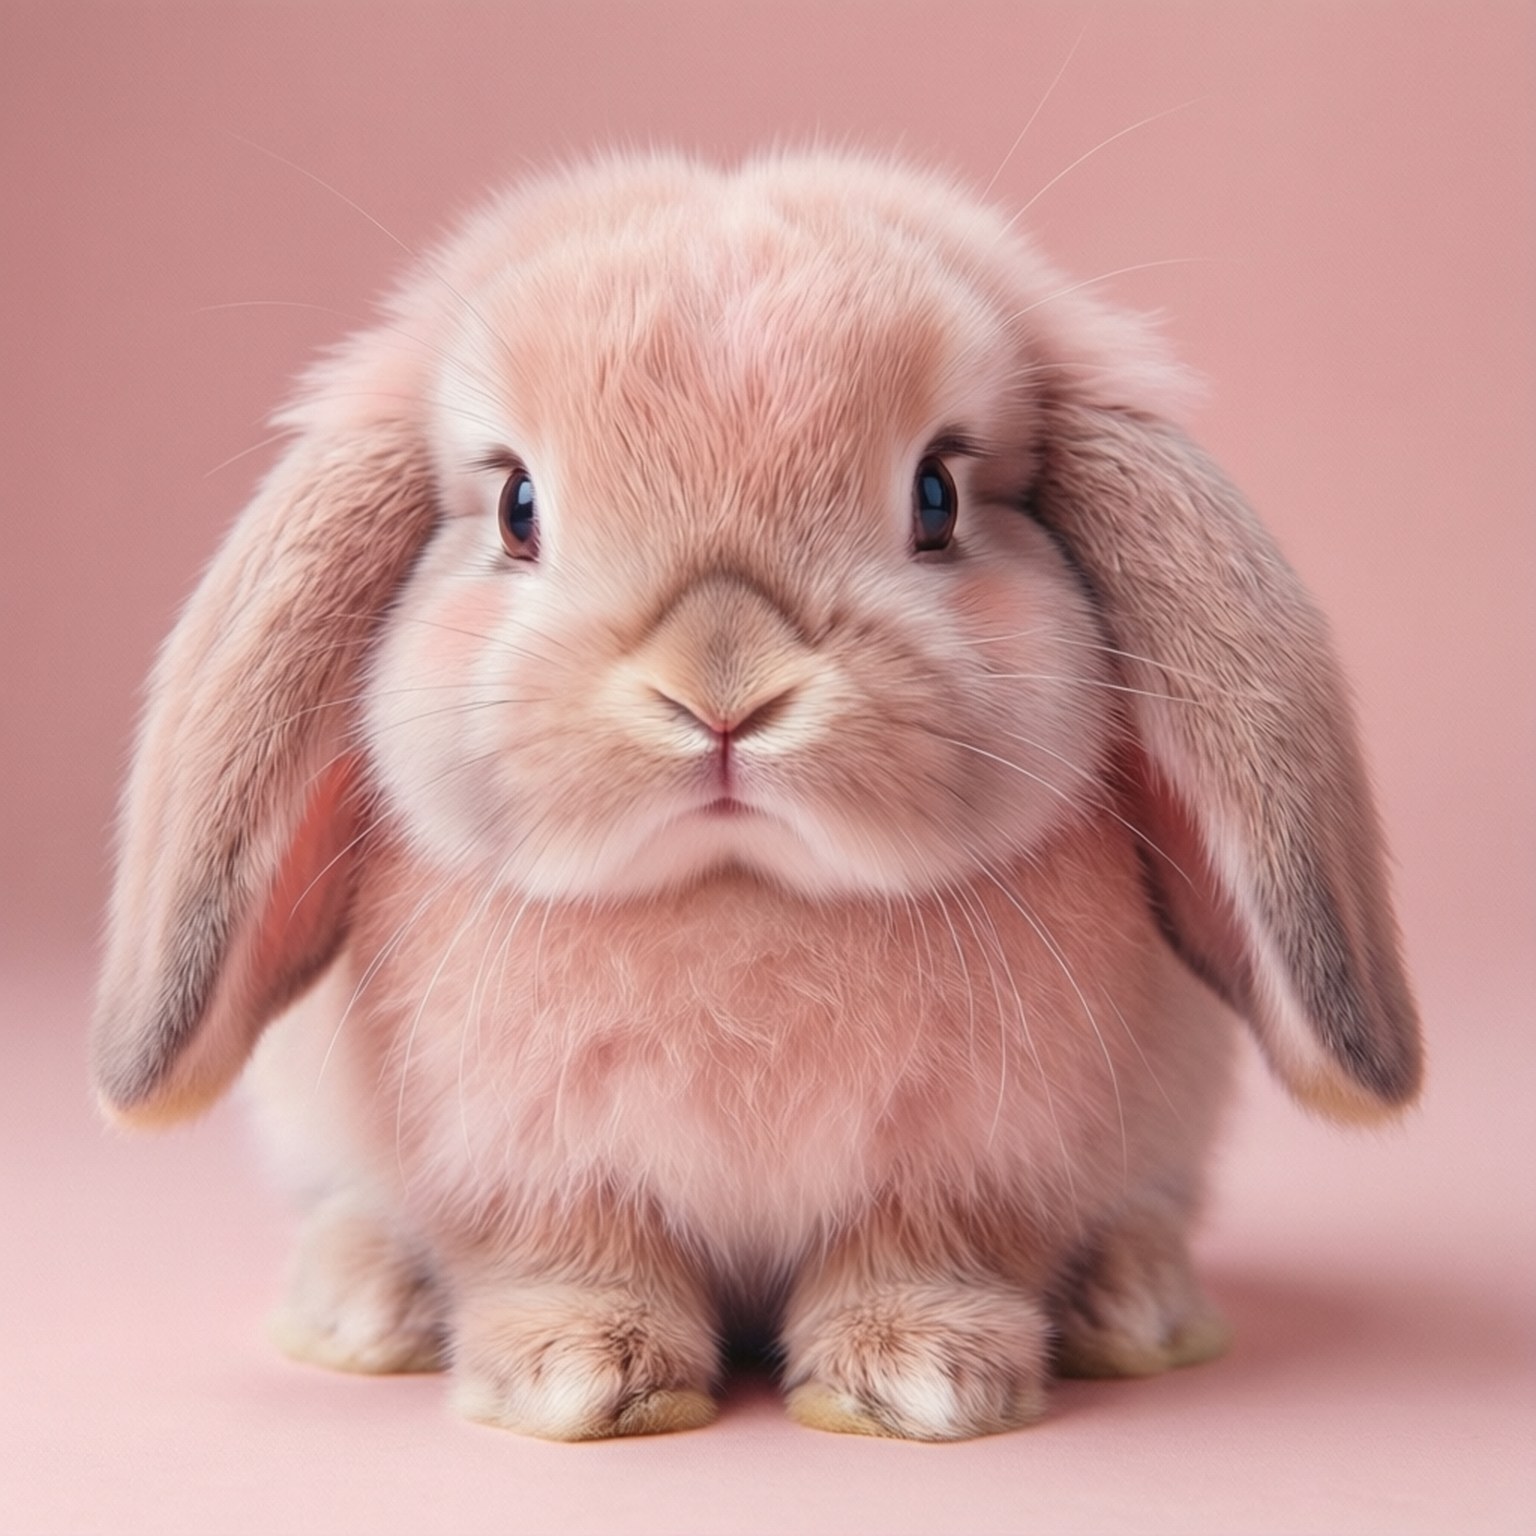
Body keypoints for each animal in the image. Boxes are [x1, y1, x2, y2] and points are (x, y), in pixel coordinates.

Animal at [92, 149, 1422, 1442]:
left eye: (937, 496)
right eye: (519, 508)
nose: (720, 690)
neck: (740, 896)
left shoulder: (970, 1169)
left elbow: (923, 1254)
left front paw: (920, 1381)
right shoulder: (533, 1172)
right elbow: (569, 1258)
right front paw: (582, 1378)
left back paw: (1134, 1310)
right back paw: (364, 1310)